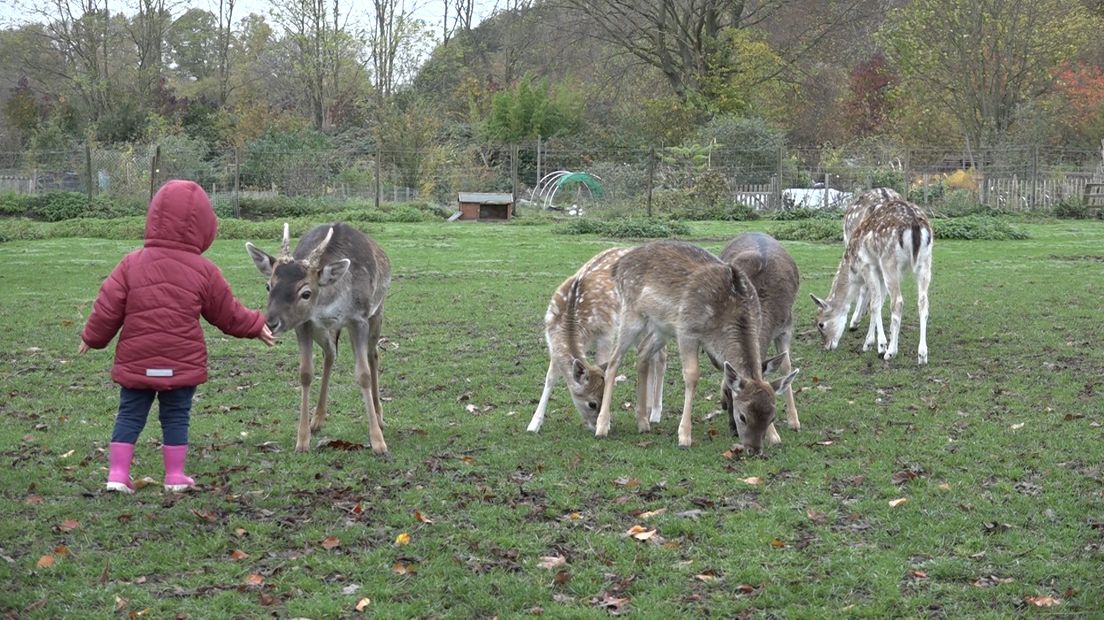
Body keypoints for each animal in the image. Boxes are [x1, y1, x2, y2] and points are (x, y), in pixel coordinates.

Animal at [246, 222, 393, 454]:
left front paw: (378, 443)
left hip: (378, 311)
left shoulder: (359, 318)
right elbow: (305, 373)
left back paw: (379, 415)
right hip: (322, 329)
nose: (270, 323)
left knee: (373, 354)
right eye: (268, 286)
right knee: (330, 353)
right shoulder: (305, 323)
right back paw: (317, 419)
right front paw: (302, 440)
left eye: (306, 293)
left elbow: (363, 375)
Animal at [525, 248, 662, 432]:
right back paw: (648, 410)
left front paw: (606, 423)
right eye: (592, 404)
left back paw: (655, 413)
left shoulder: (606, 332)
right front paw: (533, 424)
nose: (594, 424)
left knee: (661, 356)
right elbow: (550, 378)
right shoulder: (553, 343)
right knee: (649, 355)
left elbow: (606, 366)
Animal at [591, 239, 799, 452]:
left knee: (642, 353)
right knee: (614, 360)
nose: (754, 450)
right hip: (632, 314)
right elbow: (692, 376)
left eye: (771, 416)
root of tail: (618, 266)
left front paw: (775, 436)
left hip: (661, 327)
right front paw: (684, 436)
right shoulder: (687, 330)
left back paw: (642, 422)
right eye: (742, 416)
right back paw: (602, 426)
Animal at [812, 197, 931, 361]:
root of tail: (915, 224)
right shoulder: (880, 272)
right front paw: (869, 342)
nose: (827, 346)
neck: (853, 269)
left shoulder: (867, 265)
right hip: (925, 261)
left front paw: (880, 345)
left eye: (821, 324)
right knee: (923, 302)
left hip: (889, 261)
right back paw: (922, 354)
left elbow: (874, 304)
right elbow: (878, 303)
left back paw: (891, 352)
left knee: (898, 302)